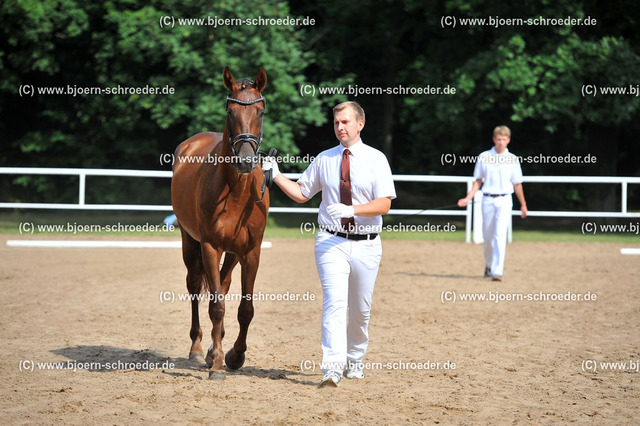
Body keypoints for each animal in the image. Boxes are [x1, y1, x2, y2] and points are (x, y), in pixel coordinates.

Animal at [170, 68, 268, 382]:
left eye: (260, 111)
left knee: (223, 285)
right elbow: (216, 306)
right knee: (194, 287)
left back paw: (217, 346)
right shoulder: (210, 247)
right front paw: (216, 365)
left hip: (233, 253)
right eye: (230, 111)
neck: (236, 193)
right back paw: (199, 348)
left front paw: (235, 356)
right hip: (190, 242)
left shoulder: (251, 252)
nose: (246, 161)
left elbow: (245, 308)